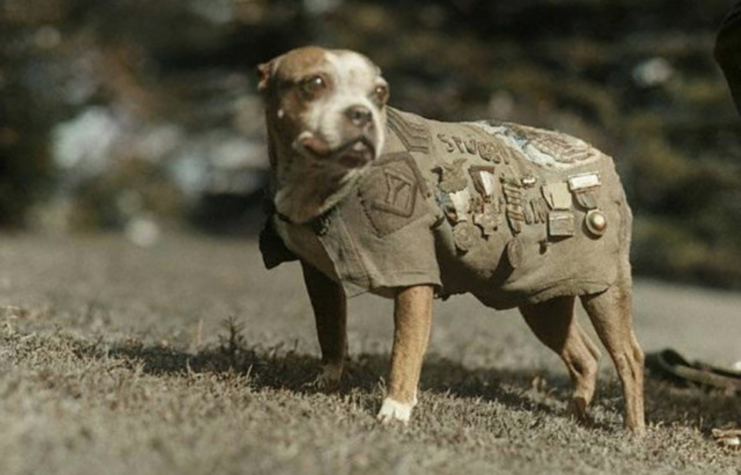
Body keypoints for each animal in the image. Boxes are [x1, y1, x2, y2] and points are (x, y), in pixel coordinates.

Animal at [258, 46, 644, 434]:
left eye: (380, 93)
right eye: (314, 83)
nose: (361, 113)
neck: (322, 184)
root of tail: (604, 160)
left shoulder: (414, 279)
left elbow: (404, 349)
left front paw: (395, 410)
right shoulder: (320, 278)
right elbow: (331, 333)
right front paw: (325, 385)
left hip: (605, 291)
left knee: (629, 356)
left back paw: (633, 429)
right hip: (543, 300)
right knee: (585, 355)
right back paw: (575, 413)